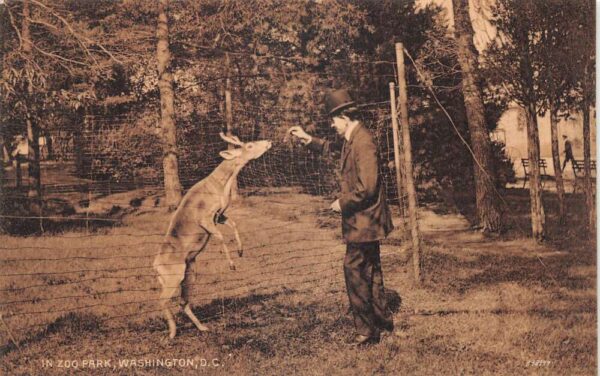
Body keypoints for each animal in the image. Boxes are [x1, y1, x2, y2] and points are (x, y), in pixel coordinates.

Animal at [152, 131, 272, 338]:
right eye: (249, 145)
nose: (268, 142)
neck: (220, 187)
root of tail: (155, 266)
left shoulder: (220, 215)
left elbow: (234, 224)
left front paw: (240, 251)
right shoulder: (205, 218)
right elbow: (221, 236)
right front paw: (231, 264)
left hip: (189, 274)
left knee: (183, 301)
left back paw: (202, 327)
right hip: (172, 277)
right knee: (162, 300)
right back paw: (172, 332)